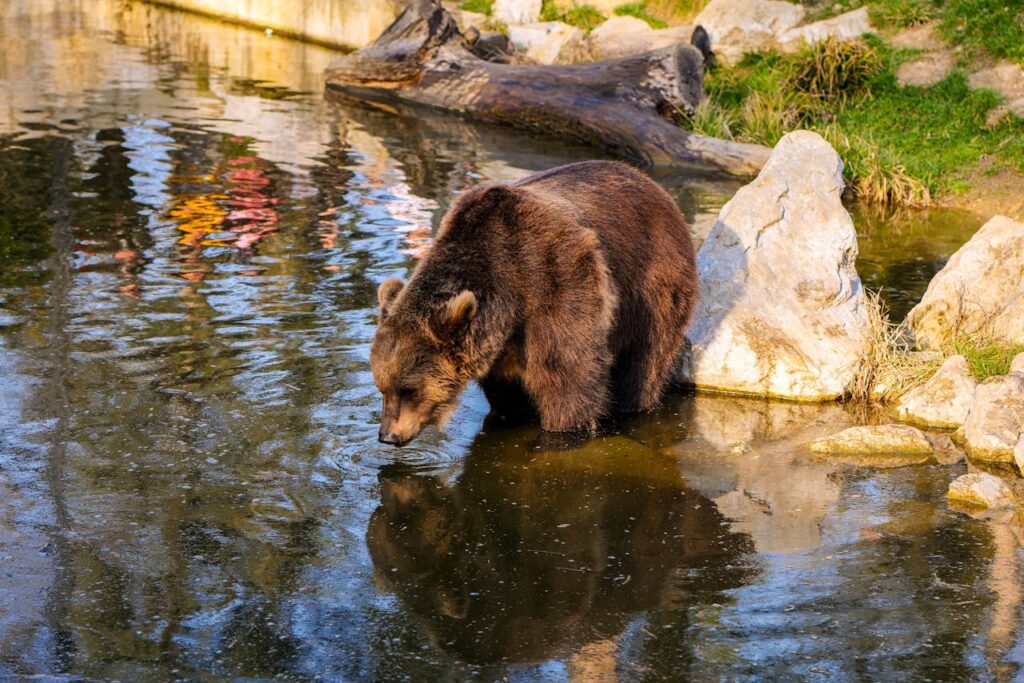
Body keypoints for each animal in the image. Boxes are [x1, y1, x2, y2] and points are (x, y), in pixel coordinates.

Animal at [371, 160, 698, 446]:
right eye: (382, 386)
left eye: (409, 389)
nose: (387, 436)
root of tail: (652, 185)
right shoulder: (499, 349)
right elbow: (507, 395)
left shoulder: (554, 283)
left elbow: (569, 378)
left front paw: (561, 428)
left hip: (652, 284)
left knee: (645, 360)